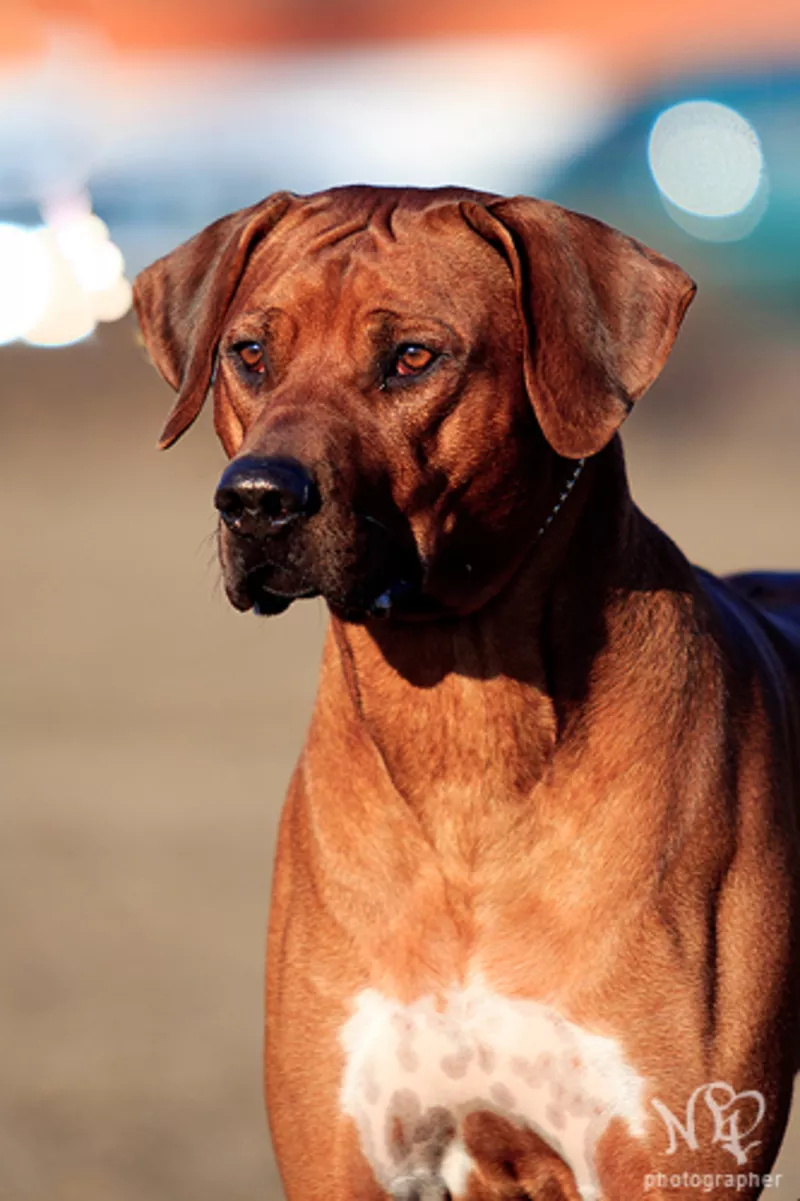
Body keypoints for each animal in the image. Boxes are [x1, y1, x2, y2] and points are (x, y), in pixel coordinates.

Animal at [133, 182, 792, 1196]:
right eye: (250, 354)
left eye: (412, 356)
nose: (254, 500)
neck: (462, 736)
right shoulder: (344, 1154)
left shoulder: (669, 1151)